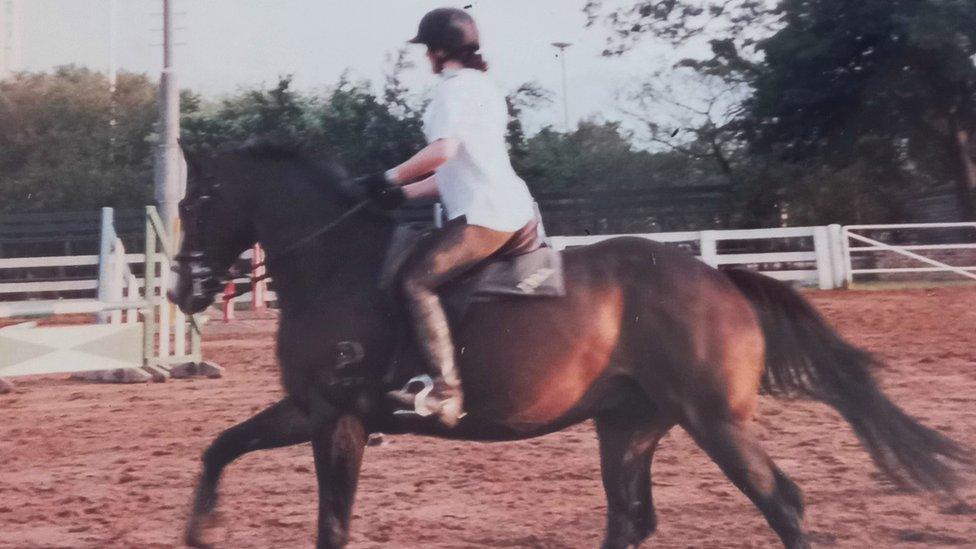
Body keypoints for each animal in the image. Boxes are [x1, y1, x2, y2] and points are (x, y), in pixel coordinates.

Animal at [168, 142, 968, 548]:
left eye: (193, 201)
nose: (181, 291)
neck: (337, 260)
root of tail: (720, 278)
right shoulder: (310, 409)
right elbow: (218, 446)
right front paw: (201, 527)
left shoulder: (337, 419)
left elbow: (332, 524)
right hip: (629, 424)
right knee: (632, 518)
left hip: (713, 421)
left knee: (783, 503)